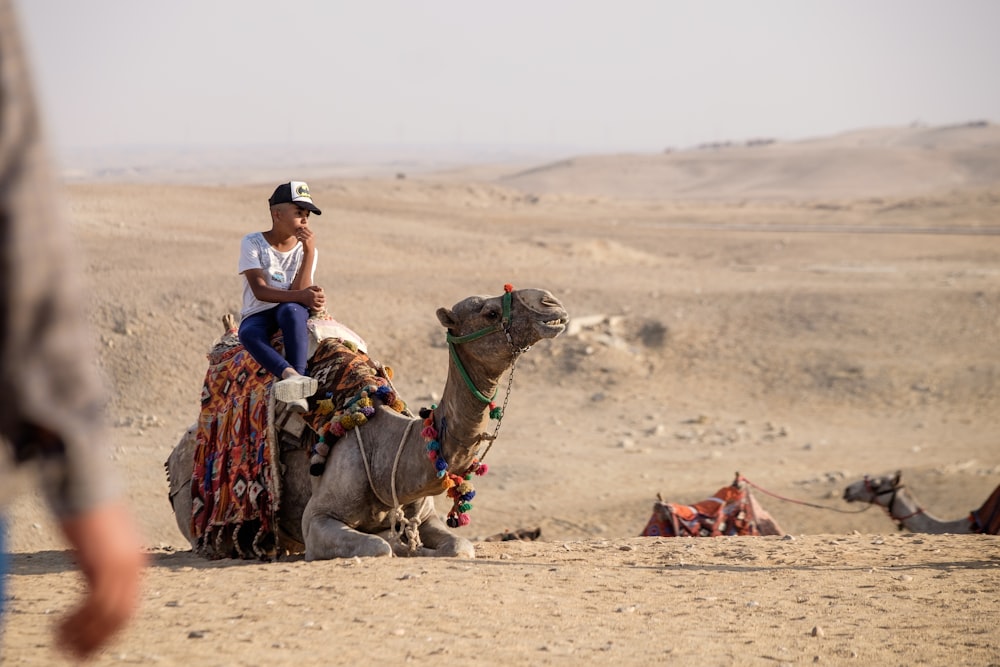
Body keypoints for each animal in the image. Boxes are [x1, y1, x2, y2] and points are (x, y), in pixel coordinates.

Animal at [168, 286, 568, 560]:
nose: (551, 302)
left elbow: (460, 547)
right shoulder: (317, 520)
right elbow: (379, 546)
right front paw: (398, 543)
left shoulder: (425, 515)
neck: (388, 451)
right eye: (489, 313)